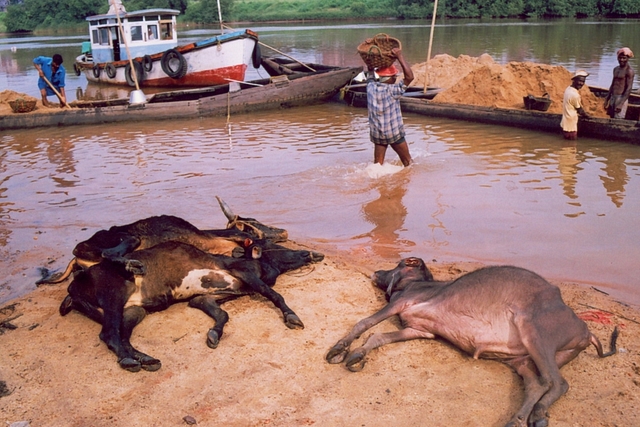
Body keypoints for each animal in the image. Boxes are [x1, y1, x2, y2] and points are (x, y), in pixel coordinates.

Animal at [35, 196, 284, 284]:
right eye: (254, 222)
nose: (283, 232)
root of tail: (76, 252)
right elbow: (243, 238)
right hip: (129, 237)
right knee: (109, 253)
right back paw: (133, 265)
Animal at [328, 258, 616, 427]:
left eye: (395, 266)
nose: (376, 271)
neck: (417, 285)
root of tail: (586, 330)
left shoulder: (400, 305)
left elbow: (364, 324)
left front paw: (339, 348)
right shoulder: (417, 330)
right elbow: (377, 336)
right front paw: (357, 355)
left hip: (533, 331)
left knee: (557, 382)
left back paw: (539, 415)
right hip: (522, 361)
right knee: (537, 385)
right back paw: (517, 419)